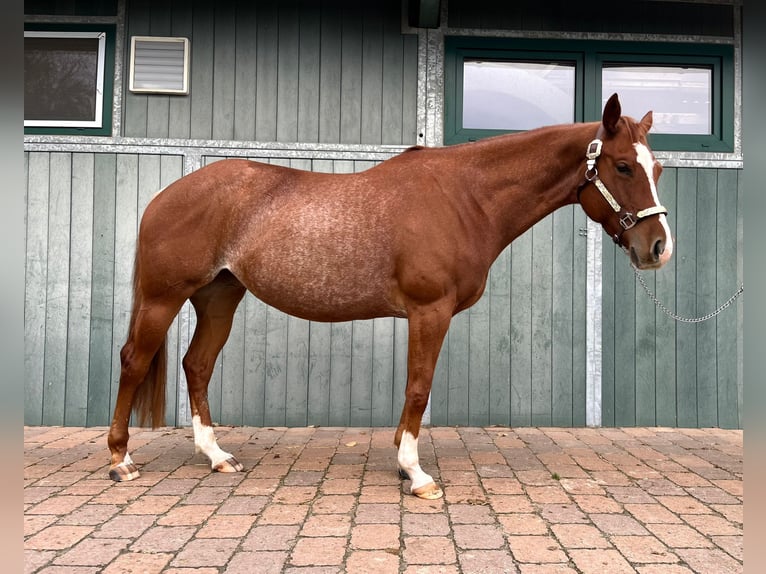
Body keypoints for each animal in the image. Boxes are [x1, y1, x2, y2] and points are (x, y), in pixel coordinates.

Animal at [106, 94, 672, 500]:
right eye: (623, 166)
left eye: (658, 170)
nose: (658, 248)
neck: (464, 197)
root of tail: (165, 196)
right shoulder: (430, 311)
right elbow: (418, 389)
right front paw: (415, 474)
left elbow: (412, 390)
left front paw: (404, 462)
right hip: (164, 298)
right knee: (134, 360)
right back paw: (120, 460)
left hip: (219, 296)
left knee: (197, 365)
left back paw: (217, 456)